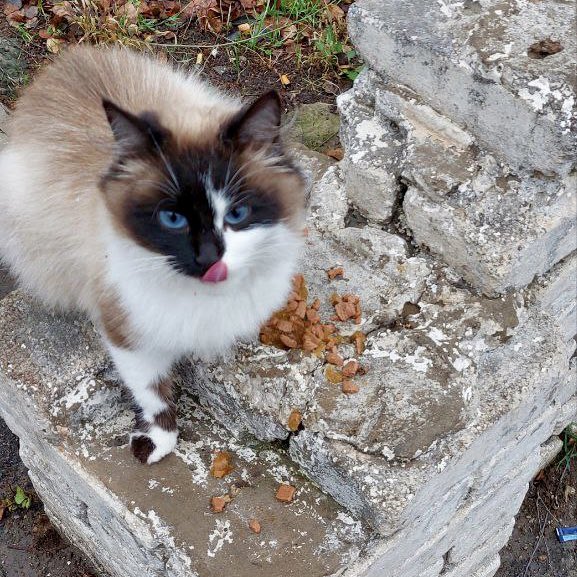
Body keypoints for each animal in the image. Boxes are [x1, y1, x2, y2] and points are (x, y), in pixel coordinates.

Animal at [0, 47, 306, 466]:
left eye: (236, 215)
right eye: (172, 219)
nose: (209, 260)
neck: (202, 298)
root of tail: (59, 65)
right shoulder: (128, 333)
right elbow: (153, 392)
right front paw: (157, 442)